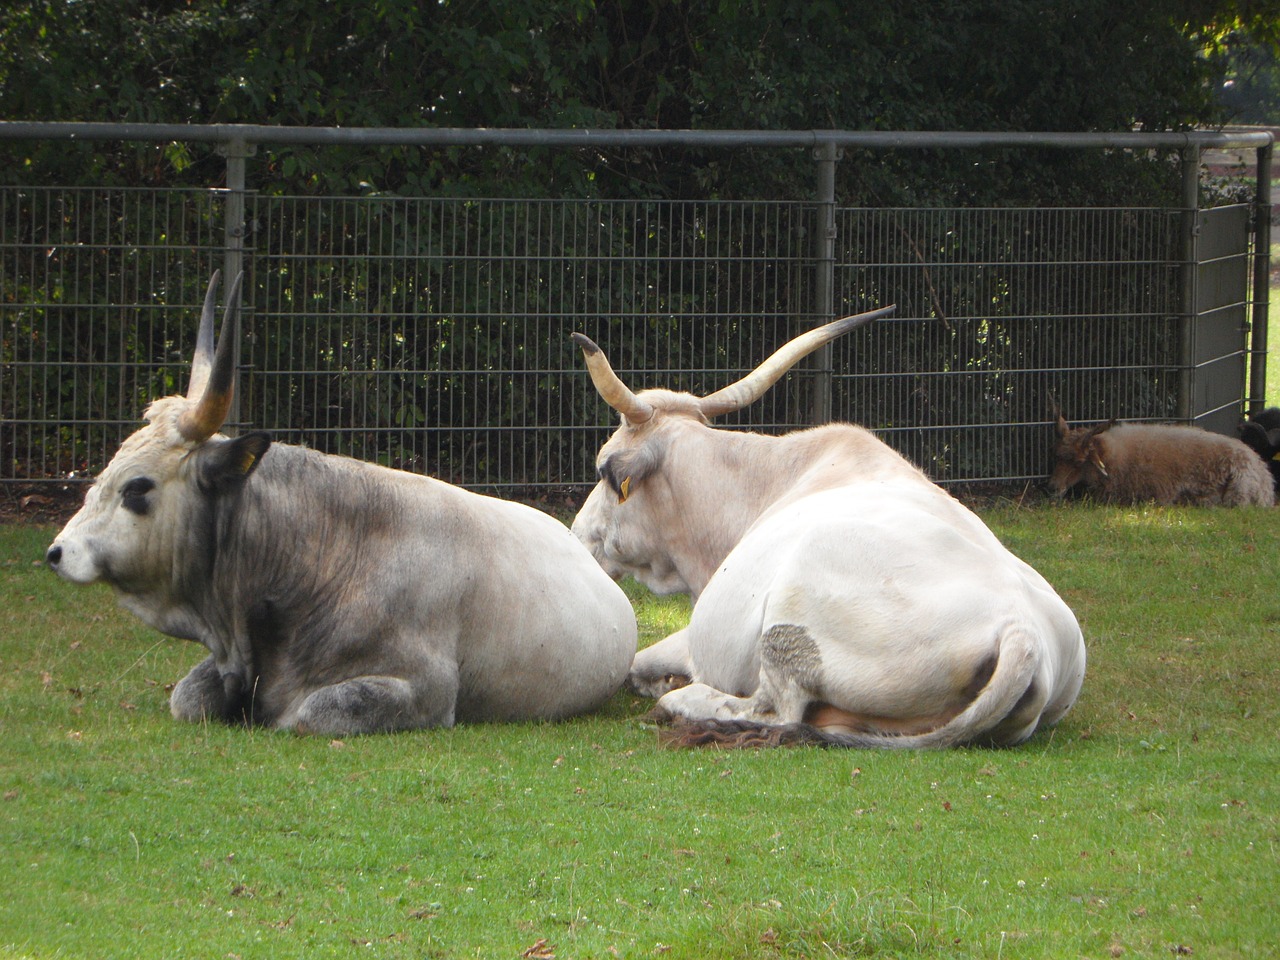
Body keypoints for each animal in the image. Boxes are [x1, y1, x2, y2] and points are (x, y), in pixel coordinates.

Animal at [570, 308, 1080, 752]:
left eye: (602, 470)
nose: (577, 536)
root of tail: (1022, 633)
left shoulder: (697, 640)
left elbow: (636, 664)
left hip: (789, 627)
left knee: (774, 710)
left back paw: (680, 700)